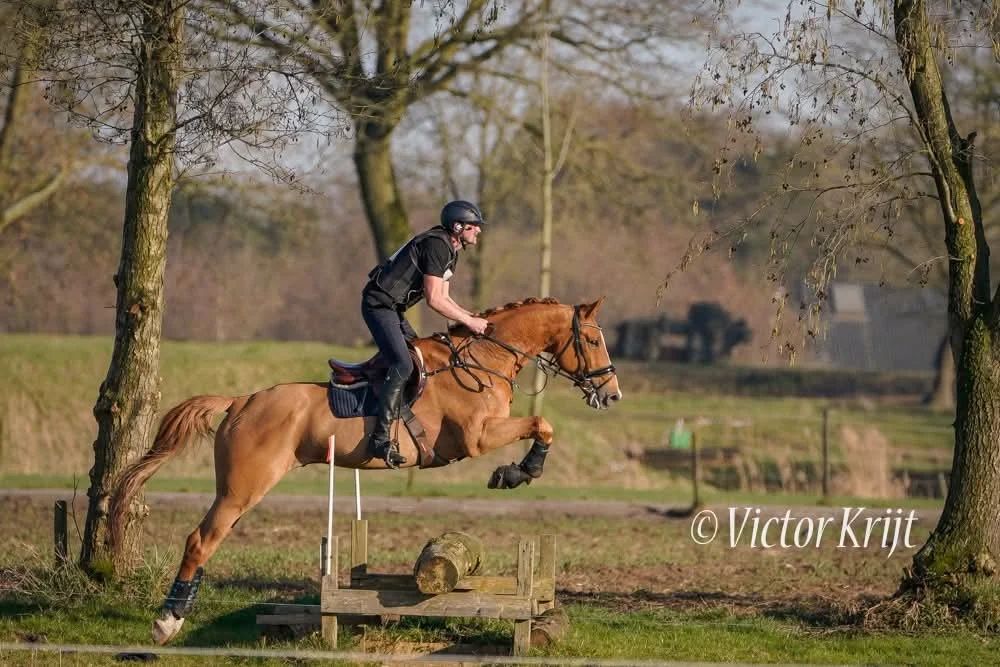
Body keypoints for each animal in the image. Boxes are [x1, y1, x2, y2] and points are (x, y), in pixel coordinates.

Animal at [108, 296, 622, 644]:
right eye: (593, 340)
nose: (612, 394)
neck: (483, 360)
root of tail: (241, 400)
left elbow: (542, 424)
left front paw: (517, 472)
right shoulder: (477, 437)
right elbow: (542, 423)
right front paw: (517, 473)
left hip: (241, 489)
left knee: (207, 539)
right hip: (242, 488)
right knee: (201, 540)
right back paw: (167, 623)